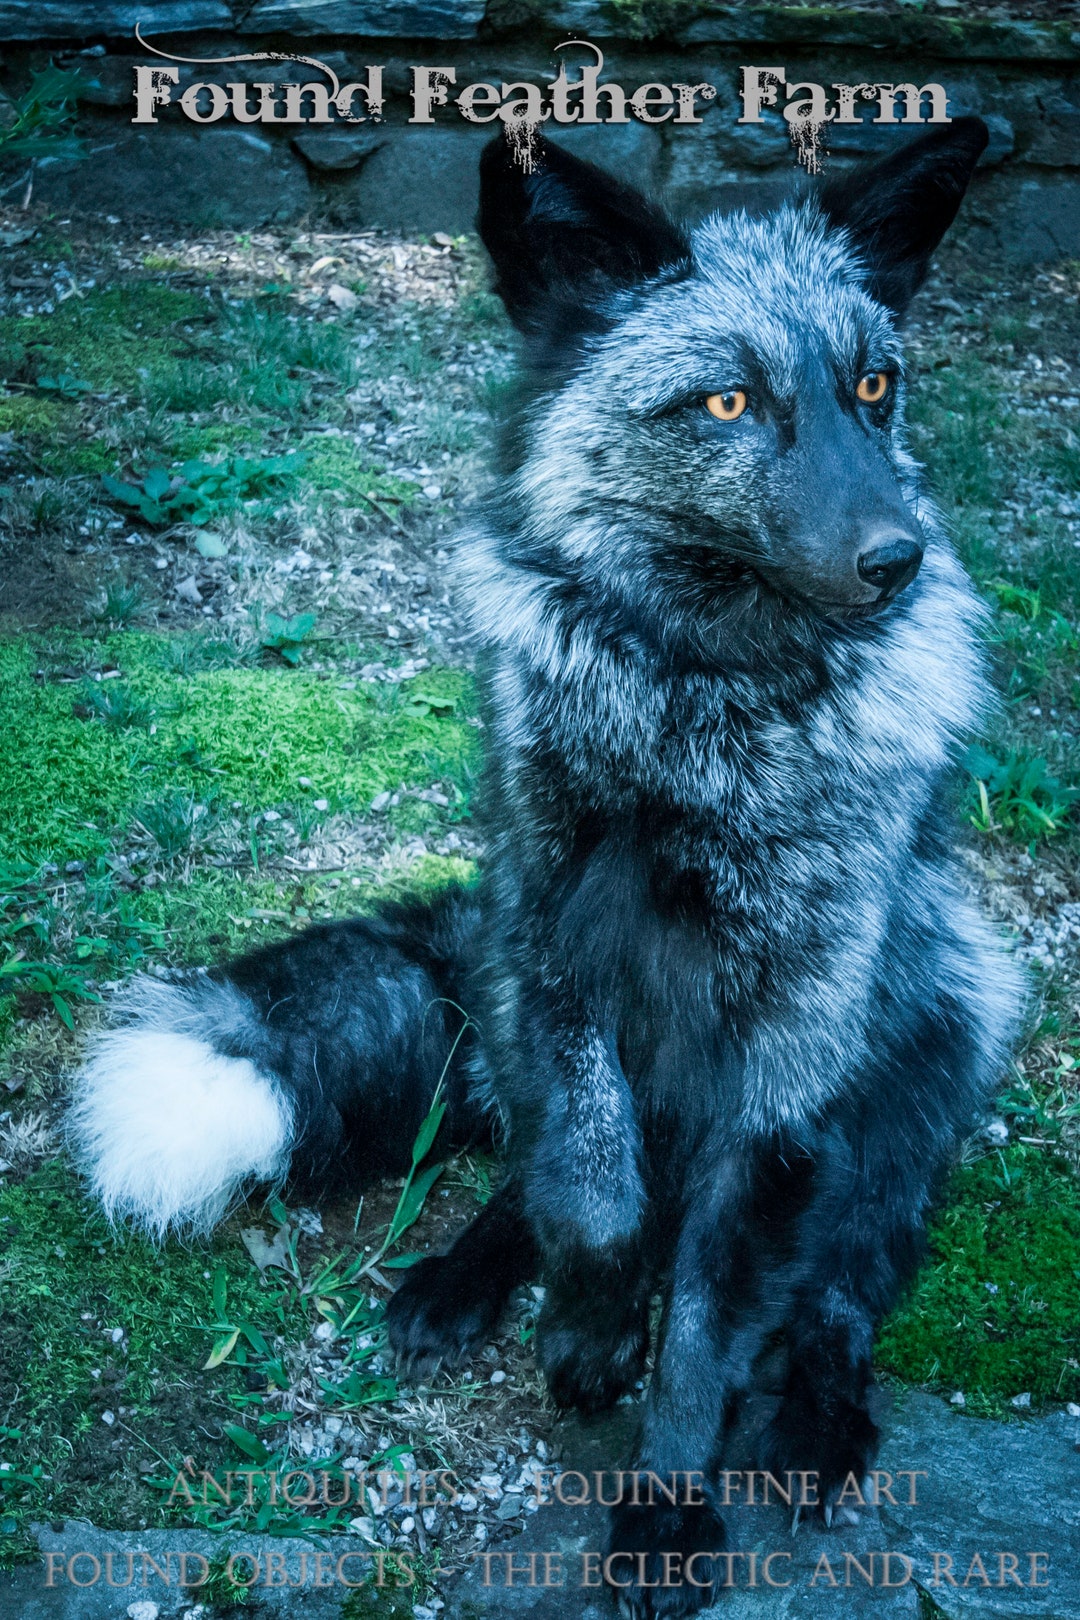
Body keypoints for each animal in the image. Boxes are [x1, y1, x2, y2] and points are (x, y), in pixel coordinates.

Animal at [70, 119, 1020, 1616]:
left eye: (874, 388)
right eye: (727, 405)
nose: (897, 560)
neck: (698, 717)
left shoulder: (790, 1049)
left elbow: (711, 1317)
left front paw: (667, 1506)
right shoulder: (557, 949)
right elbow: (591, 1196)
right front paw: (583, 1327)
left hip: (935, 1038)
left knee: (840, 1292)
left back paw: (813, 1420)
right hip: (511, 985)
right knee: (538, 1171)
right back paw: (468, 1278)